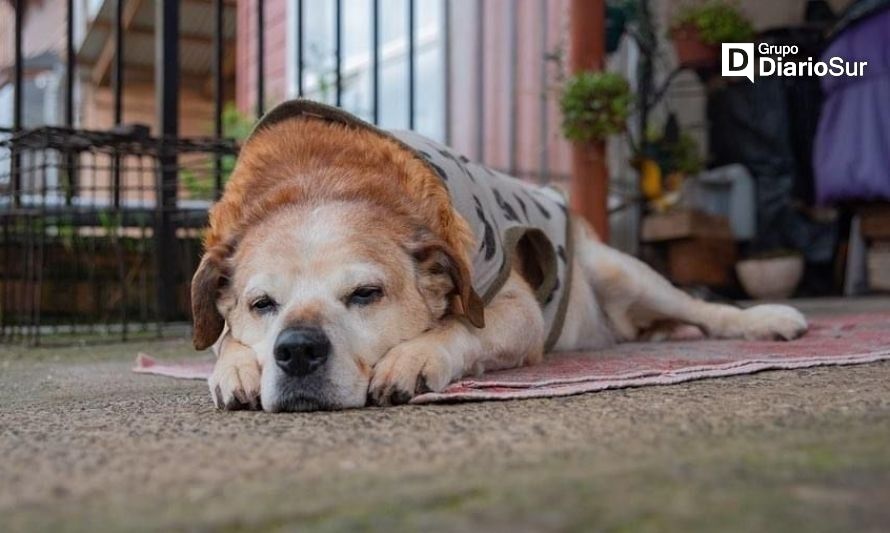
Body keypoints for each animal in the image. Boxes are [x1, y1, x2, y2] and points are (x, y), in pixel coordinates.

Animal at [191, 100, 808, 412]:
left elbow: (463, 327)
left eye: (366, 294)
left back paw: (765, 321)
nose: (296, 350)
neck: (320, 178)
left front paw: (415, 356)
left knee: (702, 309)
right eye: (262, 305)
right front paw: (237, 367)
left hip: (623, 274)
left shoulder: (514, 308)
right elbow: (222, 341)